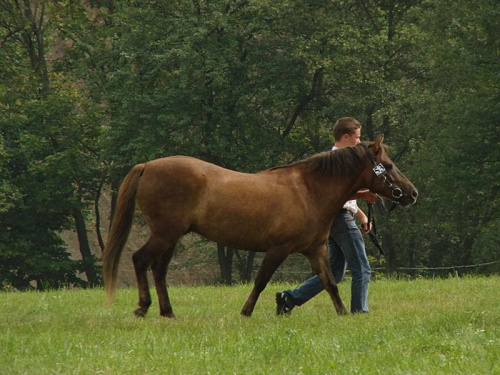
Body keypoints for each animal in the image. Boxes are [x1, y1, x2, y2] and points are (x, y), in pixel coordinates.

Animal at [102, 135, 418, 318]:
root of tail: (148, 166)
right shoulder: (277, 249)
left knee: (158, 269)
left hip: (170, 236)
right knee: (140, 260)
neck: (308, 190)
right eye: (389, 166)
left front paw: (342, 314)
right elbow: (261, 280)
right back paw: (143, 307)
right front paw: (246, 312)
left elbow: (329, 283)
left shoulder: (315, 250)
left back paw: (167, 312)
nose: (412, 193)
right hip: (165, 234)